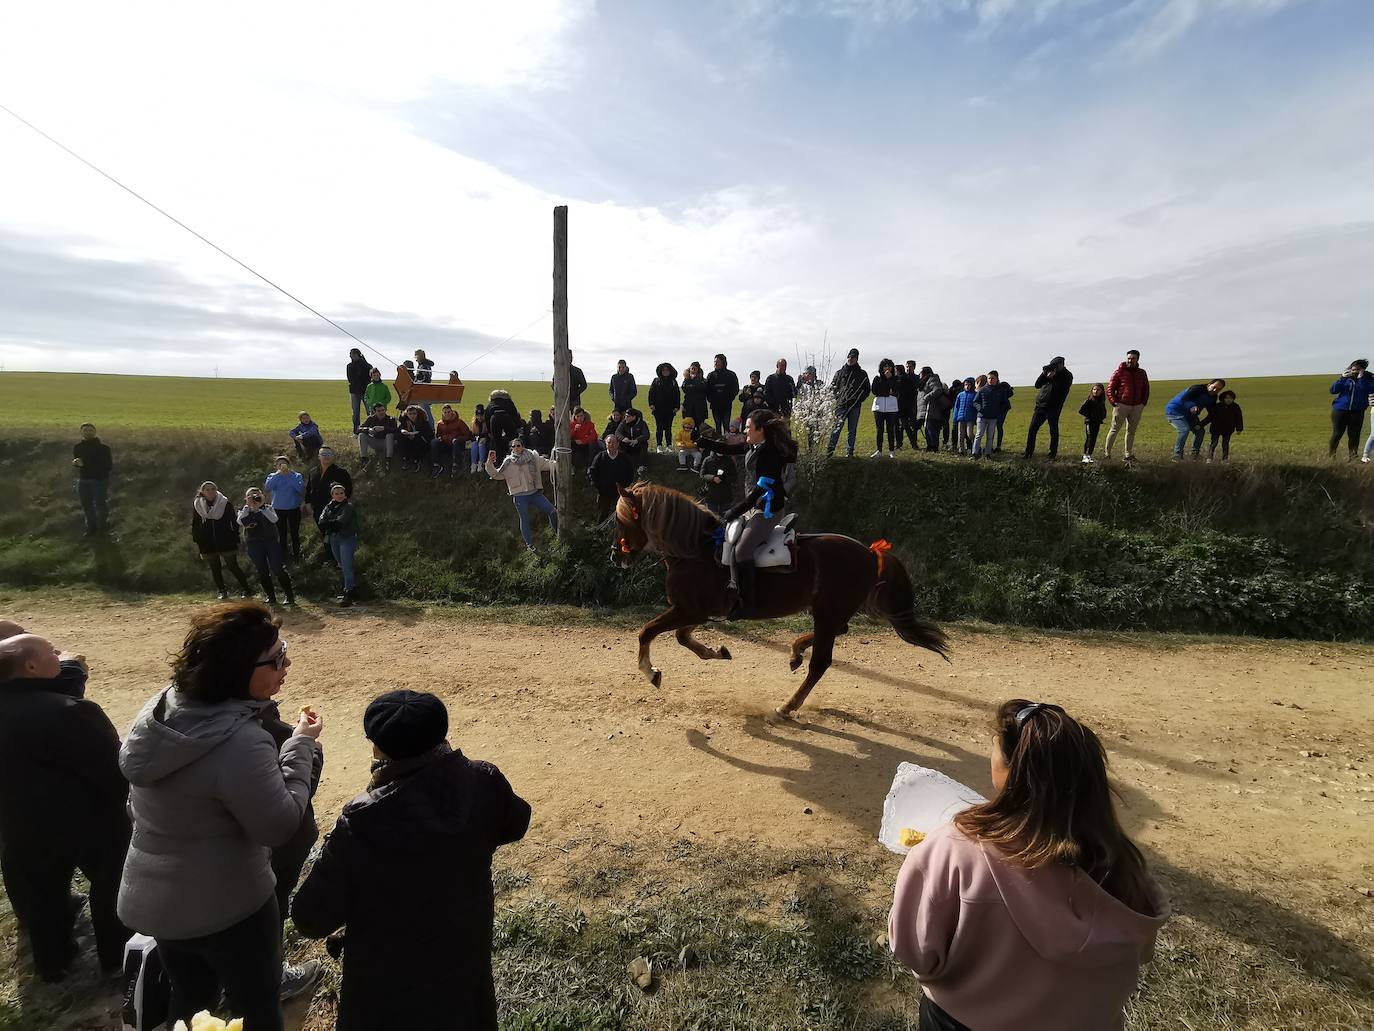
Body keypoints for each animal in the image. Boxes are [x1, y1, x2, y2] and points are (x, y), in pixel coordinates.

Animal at [612, 483, 945, 720]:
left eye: (623, 520)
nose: (617, 557)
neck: (697, 550)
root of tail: (869, 552)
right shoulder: (699, 612)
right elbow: (683, 638)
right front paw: (717, 652)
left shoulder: (688, 610)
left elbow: (647, 632)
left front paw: (650, 672)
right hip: (830, 611)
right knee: (840, 631)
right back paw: (796, 652)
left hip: (828, 612)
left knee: (821, 662)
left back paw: (788, 705)